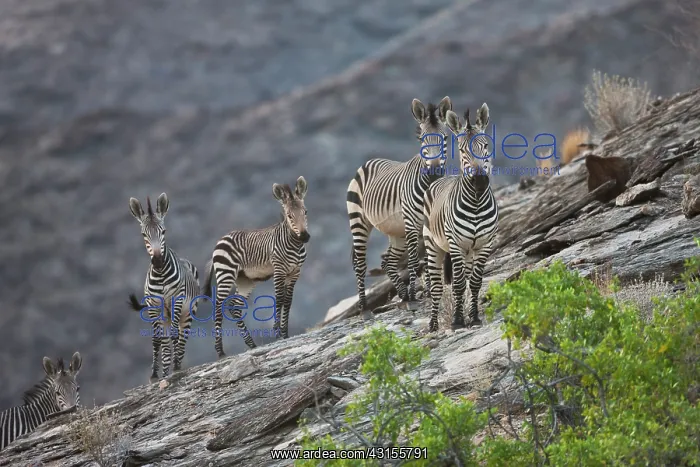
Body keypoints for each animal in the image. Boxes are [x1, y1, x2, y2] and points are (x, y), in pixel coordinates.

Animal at [126, 193, 200, 382]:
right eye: (143, 234)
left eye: (164, 231)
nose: (158, 260)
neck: (160, 274)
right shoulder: (153, 305)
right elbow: (156, 340)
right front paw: (154, 374)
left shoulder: (176, 300)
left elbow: (175, 335)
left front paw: (176, 367)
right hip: (164, 315)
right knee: (167, 343)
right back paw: (166, 372)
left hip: (187, 313)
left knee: (181, 337)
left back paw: (177, 366)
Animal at [202, 176, 309, 356]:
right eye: (289, 215)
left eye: (305, 212)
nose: (305, 237)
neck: (294, 244)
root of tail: (221, 240)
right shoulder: (279, 270)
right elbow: (279, 299)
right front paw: (277, 333)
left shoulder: (295, 272)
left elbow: (288, 301)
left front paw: (285, 333)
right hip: (226, 274)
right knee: (219, 305)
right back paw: (220, 351)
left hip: (245, 280)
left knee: (234, 306)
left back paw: (251, 344)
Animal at [347, 97, 452, 318]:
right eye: (422, 139)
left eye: (445, 137)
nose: (435, 170)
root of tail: (369, 162)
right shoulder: (411, 223)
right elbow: (413, 260)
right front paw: (413, 298)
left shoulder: (425, 225)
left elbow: (427, 258)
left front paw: (427, 291)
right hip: (359, 220)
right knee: (360, 263)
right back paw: (365, 309)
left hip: (397, 232)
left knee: (387, 261)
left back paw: (402, 294)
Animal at [422, 104, 498, 332]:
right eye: (463, 150)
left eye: (485, 146)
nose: (480, 182)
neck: (476, 203)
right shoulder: (455, 244)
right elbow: (457, 284)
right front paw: (457, 321)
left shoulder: (484, 245)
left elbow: (474, 282)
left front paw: (473, 317)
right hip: (434, 245)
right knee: (437, 286)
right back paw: (433, 324)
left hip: (469, 251)